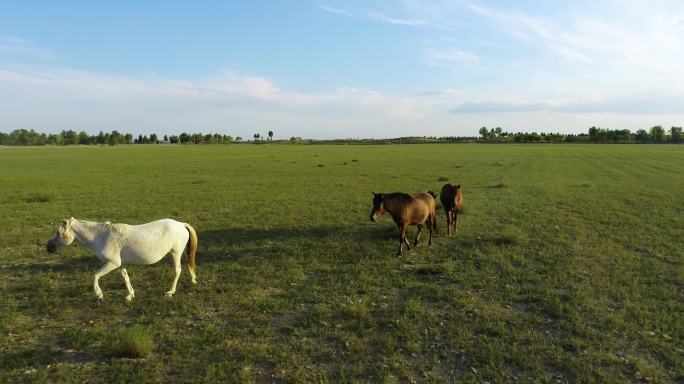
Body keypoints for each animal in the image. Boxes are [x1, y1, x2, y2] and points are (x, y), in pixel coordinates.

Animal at [46, 218, 196, 302]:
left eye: (58, 233)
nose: (48, 247)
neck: (101, 236)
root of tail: (181, 224)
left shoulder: (112, 264)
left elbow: (95, 276)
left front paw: (99, 295)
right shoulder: (119, 265)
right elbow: (126, 278)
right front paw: (130, 295)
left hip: (175, 253)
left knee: (177, 271)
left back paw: (170, 292)